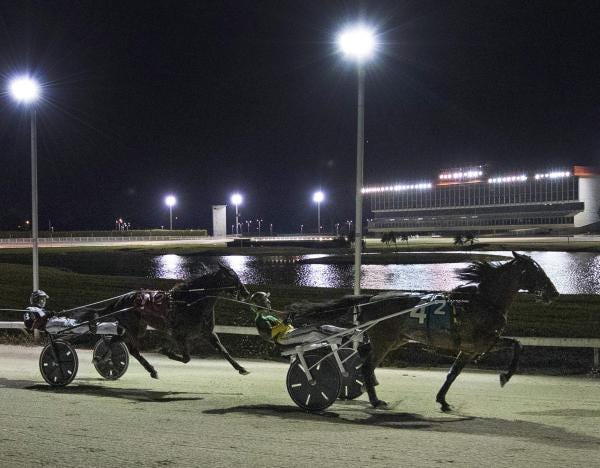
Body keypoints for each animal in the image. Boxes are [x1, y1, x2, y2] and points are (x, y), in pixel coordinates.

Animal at [71, 262, 252, 379]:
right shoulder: (178, 335)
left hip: (138, 328)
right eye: (232, 277)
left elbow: (224, 351)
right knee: (128, 347)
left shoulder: (208, 333)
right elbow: (186, 358)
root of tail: (120, 301)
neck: (192, 301)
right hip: (133, 327)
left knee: (119, 343)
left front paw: (241, 368)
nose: (246, 293)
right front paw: (165, 351)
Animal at [285, 252, 559, 412]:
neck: (482, 302)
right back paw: (374, 400)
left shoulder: (476, 346)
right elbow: (514, 346)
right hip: (384, 340)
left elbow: (456, 372)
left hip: (394, 340)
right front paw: (505, 376)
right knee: (366, 365)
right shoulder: (476, 345)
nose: (554, 293)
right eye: (536, 271)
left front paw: (443, 401)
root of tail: (371, 298)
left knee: (363, 362)